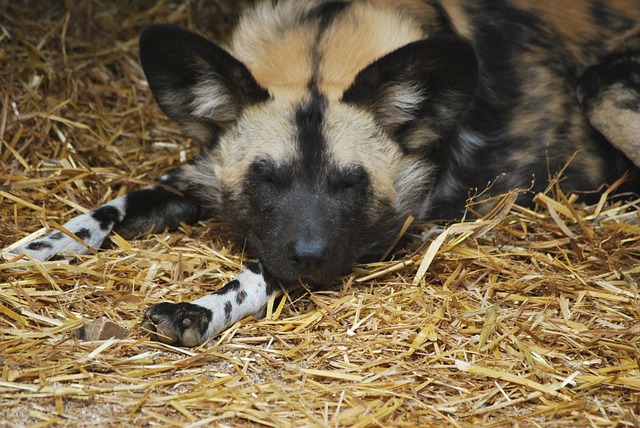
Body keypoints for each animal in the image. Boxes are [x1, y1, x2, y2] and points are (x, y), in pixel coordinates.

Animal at [8, 0, 640, 346]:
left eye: (349, 183)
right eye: (267, 179)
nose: (310, 256)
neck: (321, 44)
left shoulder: (386, 233)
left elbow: (259, 271)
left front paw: (200, 311)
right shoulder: (198, 178)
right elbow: (104, 212)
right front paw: (36, 248)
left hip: (603, 87)